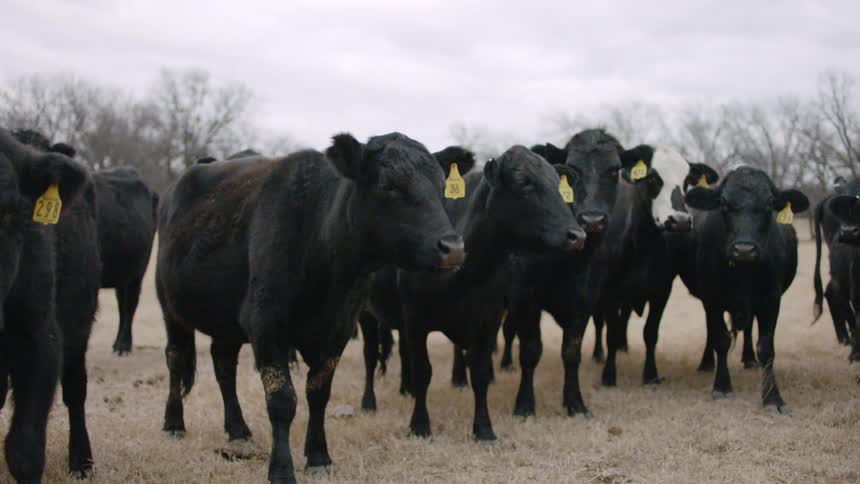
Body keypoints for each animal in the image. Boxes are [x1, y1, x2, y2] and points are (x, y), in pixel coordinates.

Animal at [0, 129, 102, 481]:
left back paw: (82, 462)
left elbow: (25, 451)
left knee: (75, 390)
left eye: (7, 211)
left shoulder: (42, 341)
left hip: (79, 328)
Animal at [156, 132, 462, 484]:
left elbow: (318, 394)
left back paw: (238, 430)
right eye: (389, 185)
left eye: (442, 186)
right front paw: (281, 469)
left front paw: (318, 456)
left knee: (223, 365)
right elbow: (282, 400)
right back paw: (174, 424)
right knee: (176, 358)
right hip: (170, 306)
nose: (452, 247)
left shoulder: (338, 329)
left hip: (226, 321)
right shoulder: (266, 324)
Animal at [398, 146, 585, 440]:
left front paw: (484, 429)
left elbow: (481, 375)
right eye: (523, 182)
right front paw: (419, 425)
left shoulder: (488, 322)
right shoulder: (414, 321)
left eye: (559, 186)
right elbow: (423, 372)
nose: (577, 235)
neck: (462, 276)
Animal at [684, 166, 808, 412]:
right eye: (723, 203)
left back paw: (749, 359)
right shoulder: (712, 297)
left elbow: (767, 348)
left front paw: (773, 397)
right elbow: (720, 339)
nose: (744, 249)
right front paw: (722, 386)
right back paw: (706, 362)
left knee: (749, 327)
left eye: (769, 204)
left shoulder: (771, 298)